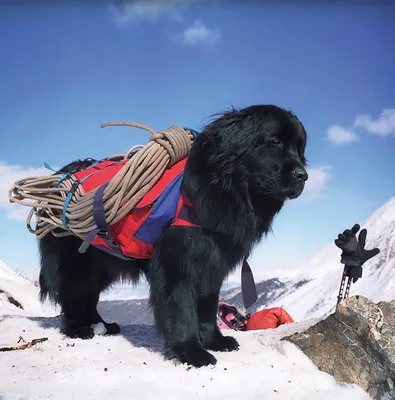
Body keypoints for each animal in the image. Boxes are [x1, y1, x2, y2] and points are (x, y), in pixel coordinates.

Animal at [38, 104, 310, 368]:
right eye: (274, 142)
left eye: (299, 149)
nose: (304, 175)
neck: (223, 193)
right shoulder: (177, 262)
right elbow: (181, 307)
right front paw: (191, 352)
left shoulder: (214, 264)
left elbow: (208, 306)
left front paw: (214, 341)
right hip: (77, 261)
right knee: (74, 295)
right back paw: (78, 329)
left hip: (103, 264)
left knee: (89, 297)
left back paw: (102, 325)